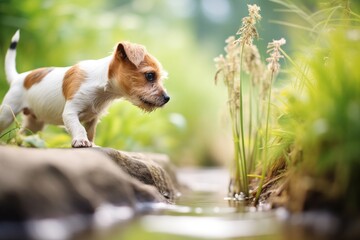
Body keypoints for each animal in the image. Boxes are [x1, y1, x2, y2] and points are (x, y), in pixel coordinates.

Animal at [0, 30, 170, 147]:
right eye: (150, 75)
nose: (167, 98)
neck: (102, 89)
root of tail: (18, 78)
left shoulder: (93, 119)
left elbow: (90, 132)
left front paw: (91, 144)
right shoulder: (70, 112)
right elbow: (79, 128)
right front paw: (81, 141)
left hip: (34, 124)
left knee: (19, 136)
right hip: (7, 114)